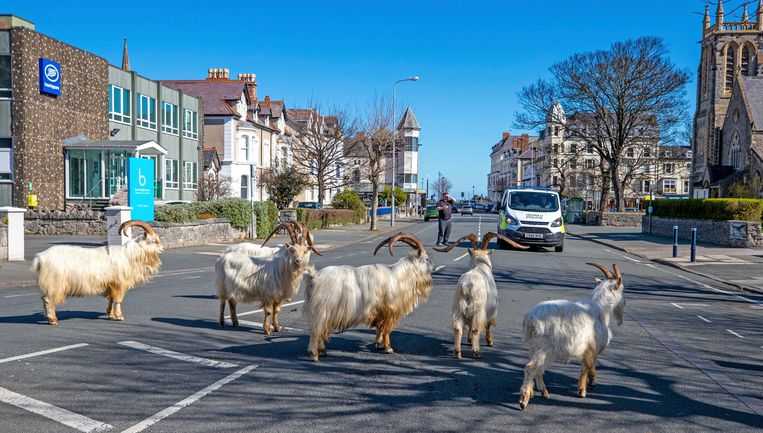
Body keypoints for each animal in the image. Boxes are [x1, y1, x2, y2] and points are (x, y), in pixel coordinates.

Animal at [33, 219, 165, 324]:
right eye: (154, 241)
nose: (163, 249)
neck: (129, 255)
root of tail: (41, 257)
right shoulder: (119, 284)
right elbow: (118, 300)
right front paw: (119, 316)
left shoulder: (110, 285)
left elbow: (111, 299)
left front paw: (110, 314)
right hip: (55, 284)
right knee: (48, 300)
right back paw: (53, 320)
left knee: (44, 299)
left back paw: (48, 318)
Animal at [304, 233, 436, 362]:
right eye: (426, 259)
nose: (434, 267)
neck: (399, 277)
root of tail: (315, 277)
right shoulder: (390, 310)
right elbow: (387, 330)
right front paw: (388, 348)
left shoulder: (380, 312)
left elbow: (380, 328)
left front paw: (379, 344)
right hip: (322, 310)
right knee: (317, 331)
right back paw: (315, 354)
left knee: (321, 331)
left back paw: (322, 351)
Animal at [432, 231, 528, 360]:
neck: (480, 266)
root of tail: (467, 285)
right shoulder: (491, 309)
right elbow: (488, 324)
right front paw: (489, 341)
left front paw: (469, 340)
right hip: (478, 309)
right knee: (475, 329)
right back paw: (477, 352)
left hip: (457, 308)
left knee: (458, 328)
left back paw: (458, 353)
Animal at [520, 264, 628, 408]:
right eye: (622, 290)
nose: (625, 303)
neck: (600, 309)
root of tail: (530, 320)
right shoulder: (590, 346)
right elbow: (586, 366)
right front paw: (582, 391)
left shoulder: (591, 348)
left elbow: (592, 364)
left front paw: (592, 381)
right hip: (545, 347)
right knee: (532, 368)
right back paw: (524, 400)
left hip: (534, 347)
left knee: (537, 368)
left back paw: (541, 392)